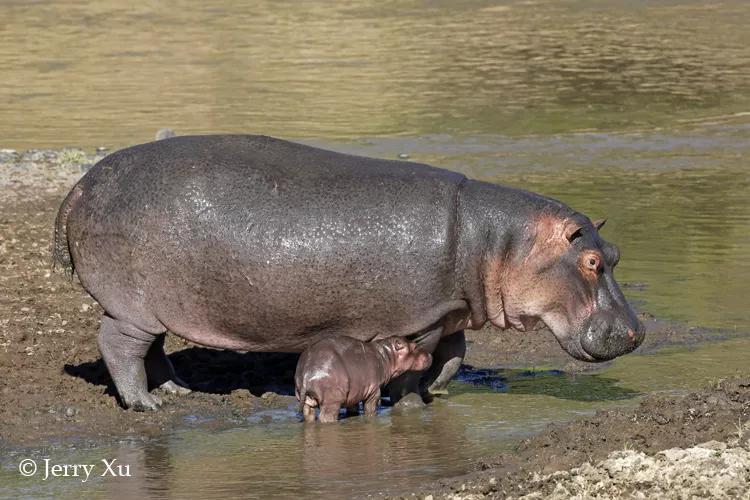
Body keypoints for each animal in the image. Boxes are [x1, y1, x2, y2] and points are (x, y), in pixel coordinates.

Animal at [54, 134, 648, 410]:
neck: (498, 243)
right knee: (120, 346)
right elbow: (415, 364)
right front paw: (409, 401)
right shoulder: (417, 321)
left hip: (155, 307)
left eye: (617, 252)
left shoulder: (449, 312)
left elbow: (454, 358)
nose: (638, 332)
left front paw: (437, 393)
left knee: (153, 350)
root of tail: (80, 185)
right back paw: (146, 404)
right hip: (131, 305)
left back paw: (177, 392)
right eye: (591, 262)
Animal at [296, 336, 432, 422]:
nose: (430, 354)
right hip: (332, 401)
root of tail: (307, 372)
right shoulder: (374, 390)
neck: (387, 356)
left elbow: (353, 407)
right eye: (414, 346)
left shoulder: (356, 391)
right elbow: (370, 407)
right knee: (326, 417)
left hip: (307, 399)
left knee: (308, 413)